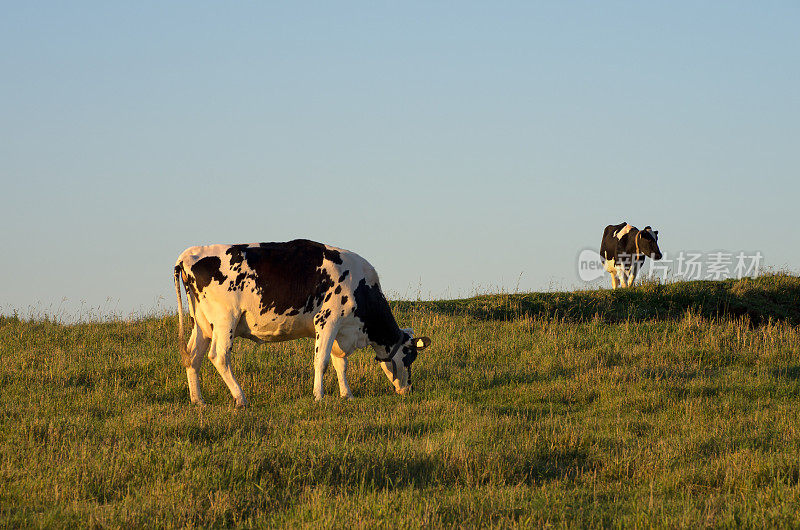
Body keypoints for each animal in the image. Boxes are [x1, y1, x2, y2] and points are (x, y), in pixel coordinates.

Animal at [172, 239, 428, 404]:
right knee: (219, 356)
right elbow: (322, 361)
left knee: (192, 357)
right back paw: (240, 398)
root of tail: (189, 254)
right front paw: (319, 397)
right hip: (226, 320)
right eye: (410, 357)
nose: (408, 389)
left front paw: (347, 395)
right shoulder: (327, 320)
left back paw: (198, 400)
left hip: (202, 324)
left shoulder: (340, 329)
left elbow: (340, 363)